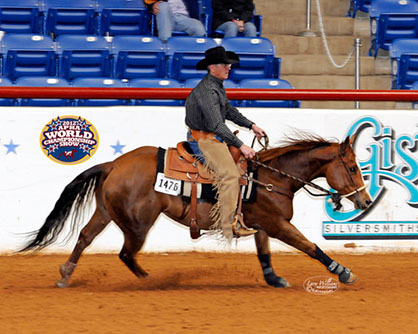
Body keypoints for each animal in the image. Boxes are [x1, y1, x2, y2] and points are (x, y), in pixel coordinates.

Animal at [19, 132, 372, 288]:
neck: (271, 178)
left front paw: (273, 279)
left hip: (105, 212)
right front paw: (344, 272)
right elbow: (310, 247)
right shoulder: (277, 223)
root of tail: (114, 164)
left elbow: (264, 253)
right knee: (125, 253)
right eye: (353, 167)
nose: (366, 202)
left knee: (85, 237)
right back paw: (152, 280)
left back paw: (66, 274)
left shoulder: (261, 224)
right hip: (138, 223)